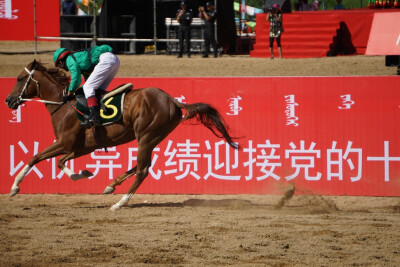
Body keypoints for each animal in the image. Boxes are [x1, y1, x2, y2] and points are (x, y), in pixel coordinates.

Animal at [4, 60, 238, 211]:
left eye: (20, 78)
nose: (8, 100)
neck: (64, 105)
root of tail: (173, 100)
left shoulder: (65, 142)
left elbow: (37, 157)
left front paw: (15, 187)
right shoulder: (81, 146)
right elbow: (60, 161)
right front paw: (84, 173)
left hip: (146, 136)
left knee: (143, 170)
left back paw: (120, 203)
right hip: (152, 137)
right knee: (142, 165)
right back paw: (111, 186)